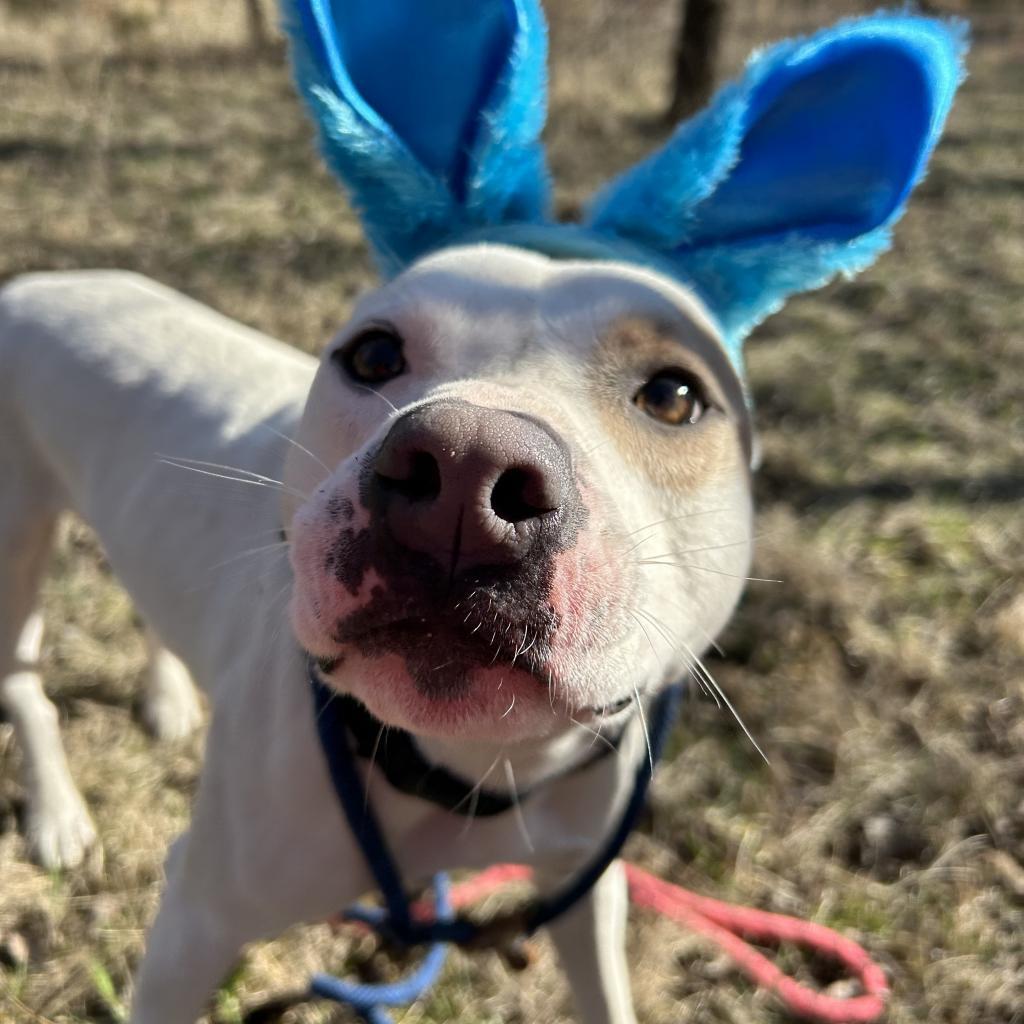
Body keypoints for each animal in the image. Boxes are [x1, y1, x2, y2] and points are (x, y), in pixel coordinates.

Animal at [0, 4, 962, 1019]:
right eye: (373, 355)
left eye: (673, 395)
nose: (463, 470)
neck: (470, 773)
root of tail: (41, 281)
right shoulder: (196, 918)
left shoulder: (587, 892)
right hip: (16, 540)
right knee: (25, 682)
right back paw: (58, 815)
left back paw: (167, 699)